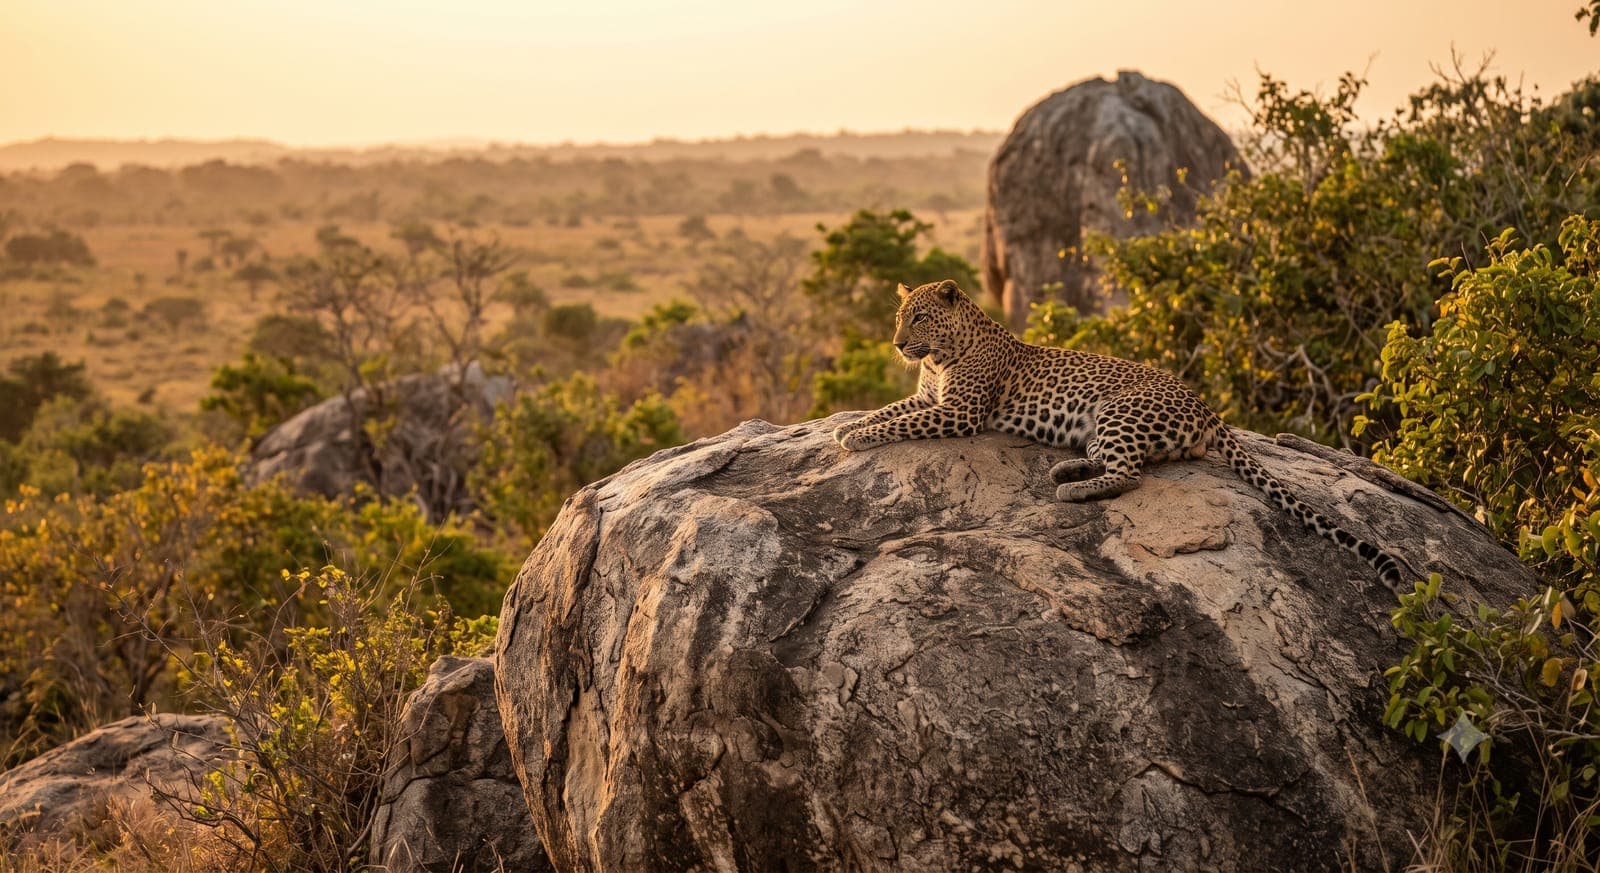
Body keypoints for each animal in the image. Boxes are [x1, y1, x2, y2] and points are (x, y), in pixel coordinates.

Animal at [833, 279, 1405, 591]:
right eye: (901, 317)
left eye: (919, 318)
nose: (897, 343)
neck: (939, 356)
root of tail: (1204, 403)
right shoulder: (930, 399)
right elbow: (889, 409)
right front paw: (847, 425)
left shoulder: (959, 413)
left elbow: (899, 423)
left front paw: (855, 439)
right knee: (1124, 463)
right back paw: (1067, 469)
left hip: (1118, 411)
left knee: (1129, 475)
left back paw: (1070, 488)